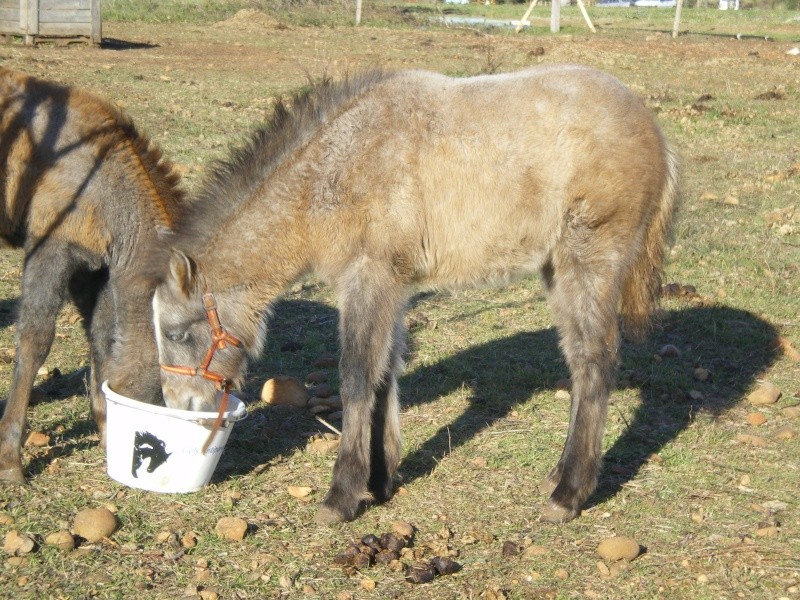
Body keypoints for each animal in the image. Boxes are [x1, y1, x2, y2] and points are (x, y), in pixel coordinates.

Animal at [0, 68, 186, 482]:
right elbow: (35, 338)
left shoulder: (95, 269)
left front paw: (105, 430)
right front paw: (9, 457)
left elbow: (101, 337)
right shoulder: (49, 245)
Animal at [148, 65, 676, 524]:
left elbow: (357, 376)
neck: (334, 169)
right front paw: (380, 482)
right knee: (579, 363)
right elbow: (385, 373)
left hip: (588, 262)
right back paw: (561, 475)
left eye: (176, 334)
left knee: (595, 360)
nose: (179, 405)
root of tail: (655, 130)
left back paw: (569, 493)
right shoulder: (393, 286)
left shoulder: (368, 277)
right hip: (556, 269)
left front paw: (341, 496)